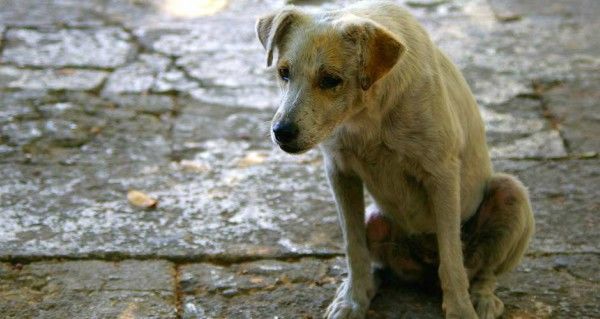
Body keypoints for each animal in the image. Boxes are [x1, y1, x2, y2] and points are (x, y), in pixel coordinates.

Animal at [253, 1, 536, 318]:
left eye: (330, 80)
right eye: (283, 72)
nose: (281, 132)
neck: (367, 114)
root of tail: (424, 270)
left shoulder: (442, 175)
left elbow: (452, 258)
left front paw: (460, 309)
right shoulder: (340, 172)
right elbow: (354, 246)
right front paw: (353, 300)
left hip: (511, 193)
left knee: (483, 272)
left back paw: (483, 298)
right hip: (376, 220)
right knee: (380, 263)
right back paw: (368, 286)